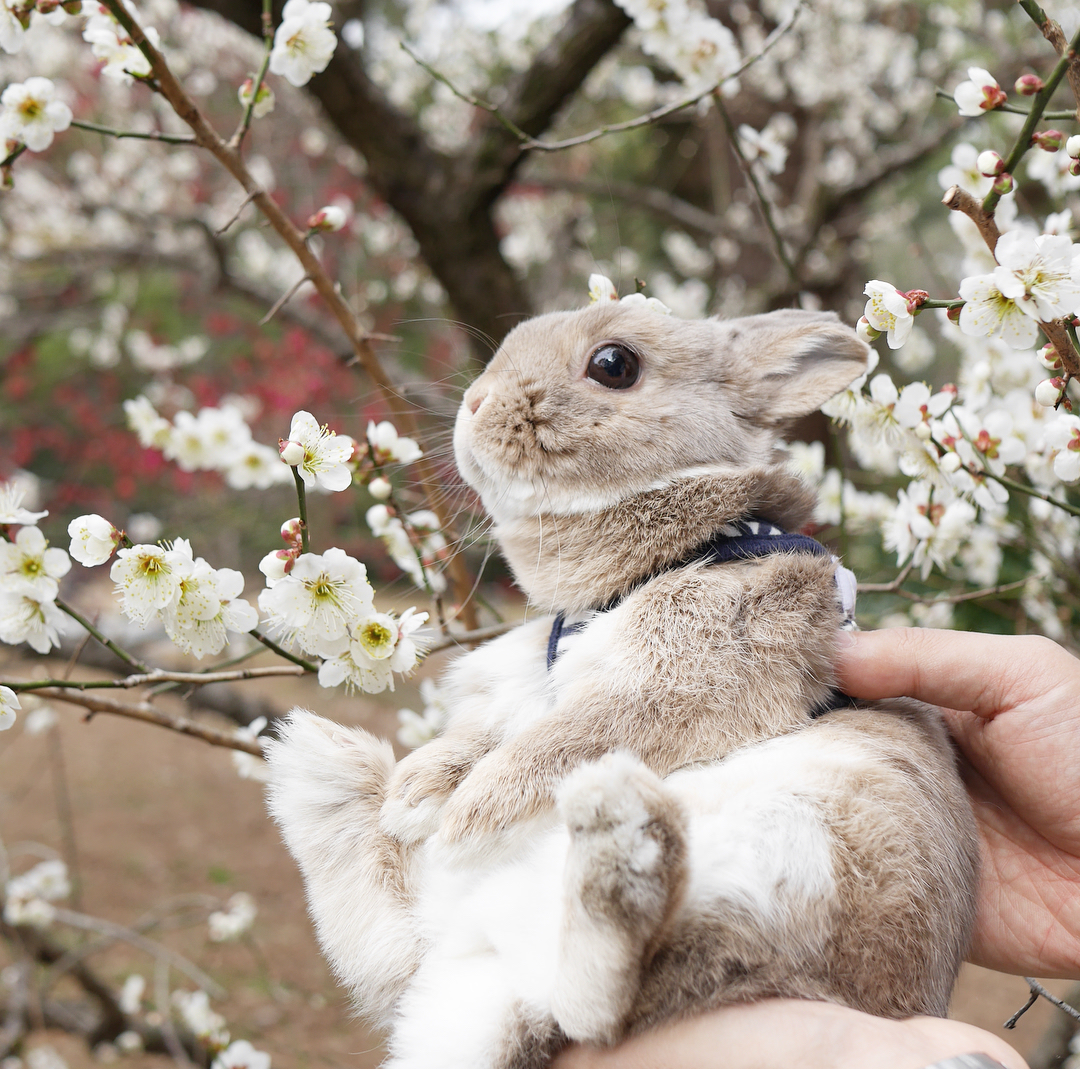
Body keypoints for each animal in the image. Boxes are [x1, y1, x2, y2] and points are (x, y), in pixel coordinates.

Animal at [261, 300, 980, 1069]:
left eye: (615, 365)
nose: (475, 402)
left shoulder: (678, 674)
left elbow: (561, 740)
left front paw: (466, 817)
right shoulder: (529, 686)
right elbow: (492, 735)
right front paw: (415, 797)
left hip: (795, 877)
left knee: (613, 998)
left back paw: (620, 845)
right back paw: (322, 765)